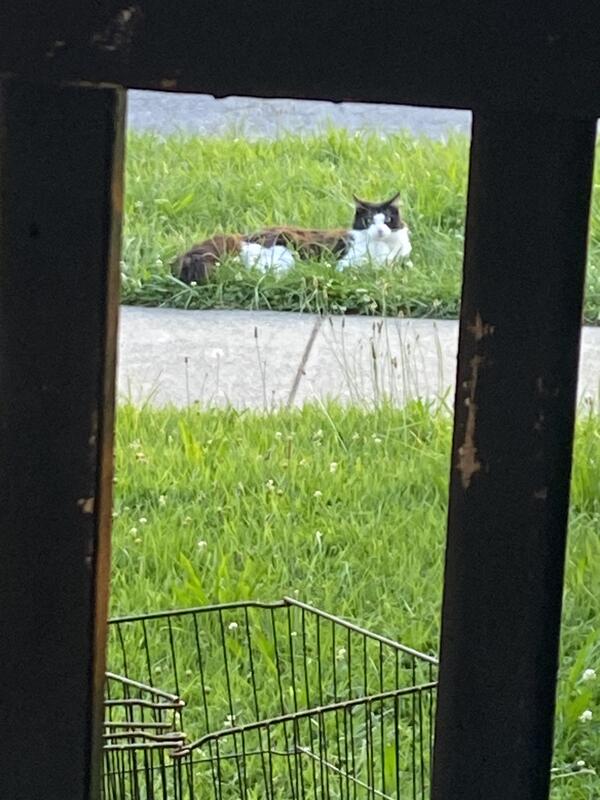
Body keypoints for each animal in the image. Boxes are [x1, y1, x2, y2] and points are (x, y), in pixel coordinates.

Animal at [175, 193, 411, 284]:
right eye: (369, 220)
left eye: (387, 219)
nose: (379, 230)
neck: (384, 247)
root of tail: (239, 238)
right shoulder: (346, 263)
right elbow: (370, 270)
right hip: (286, 253)